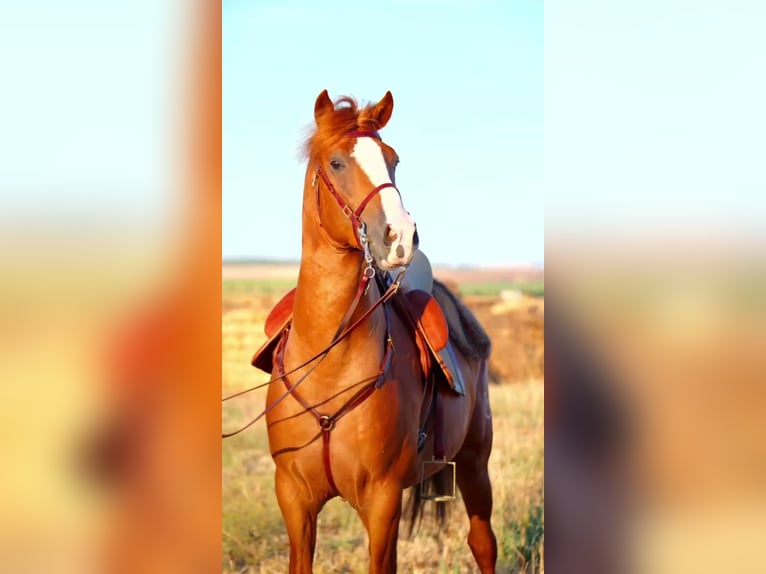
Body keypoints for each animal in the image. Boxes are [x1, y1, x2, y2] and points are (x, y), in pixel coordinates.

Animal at [256, 90, 497, 573]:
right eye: (335, 163)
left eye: (393, 159)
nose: (400, 236)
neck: (329, 362)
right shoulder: (293, 497)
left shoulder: (381, 499)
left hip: (476, 464)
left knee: (483, 544)